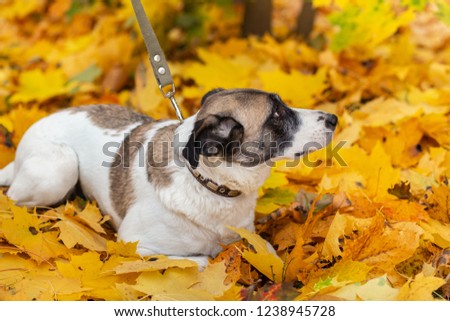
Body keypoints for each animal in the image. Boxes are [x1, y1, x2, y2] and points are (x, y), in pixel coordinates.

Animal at [0, 87, 336, 264]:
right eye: (276, 114)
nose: (333, 118)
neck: (209, 185)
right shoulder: (135, 244)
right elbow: (201, 259)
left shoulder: (249, 233)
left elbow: (270, 252)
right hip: (61, 167)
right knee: (15, 198)